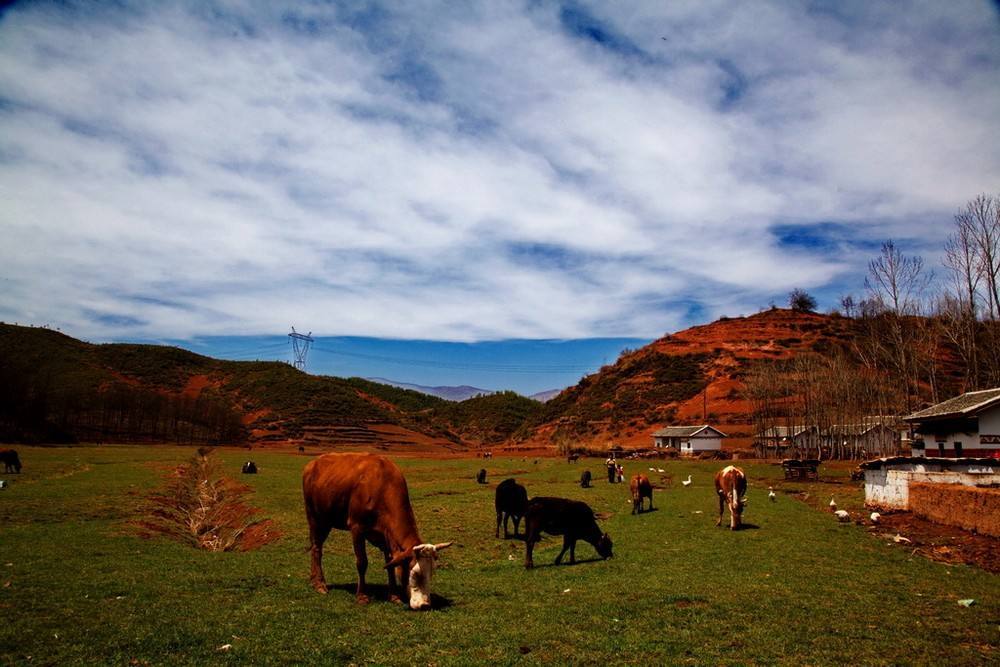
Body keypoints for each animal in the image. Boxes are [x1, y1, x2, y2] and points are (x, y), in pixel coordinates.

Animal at [298, 454, 452, 612]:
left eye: (432, 572)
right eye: (415, 573)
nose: (425, 605)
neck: (383, 486)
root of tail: (313, 463)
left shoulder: (386, 537)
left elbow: (390, 564)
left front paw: (394, 596)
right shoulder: (357, 528)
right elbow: (362, 562)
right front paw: (362, 596)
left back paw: (313, 581)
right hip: (316, 518)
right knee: (316, 549)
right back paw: (319, 584)